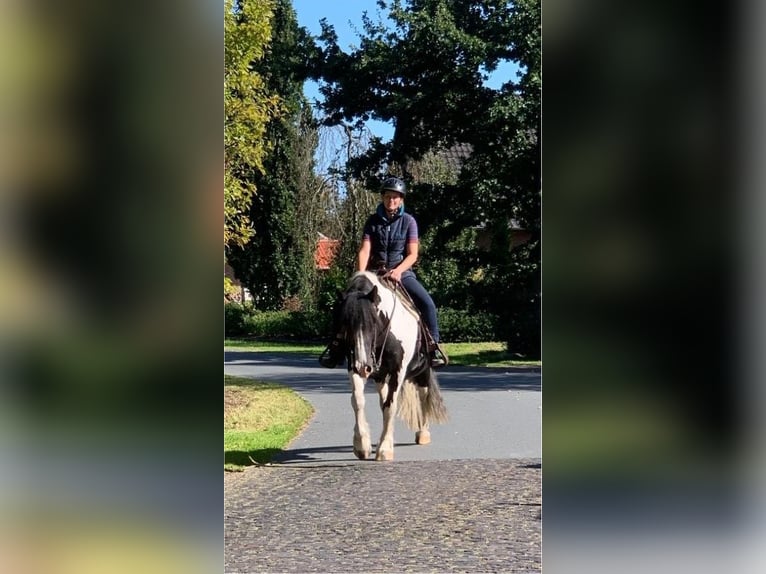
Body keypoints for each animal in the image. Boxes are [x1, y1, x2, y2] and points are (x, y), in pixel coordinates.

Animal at [338, 272, 450, 464]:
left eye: (372, 322)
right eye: (346, 325)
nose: (363, 366)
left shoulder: (398, 371)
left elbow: (391, 406)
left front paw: (384, 450)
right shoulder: (355, 367)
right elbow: (358, 400)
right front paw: (361, 446)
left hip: (422, 372)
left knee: (423, 397)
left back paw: (423, 433)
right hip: (380, 375)